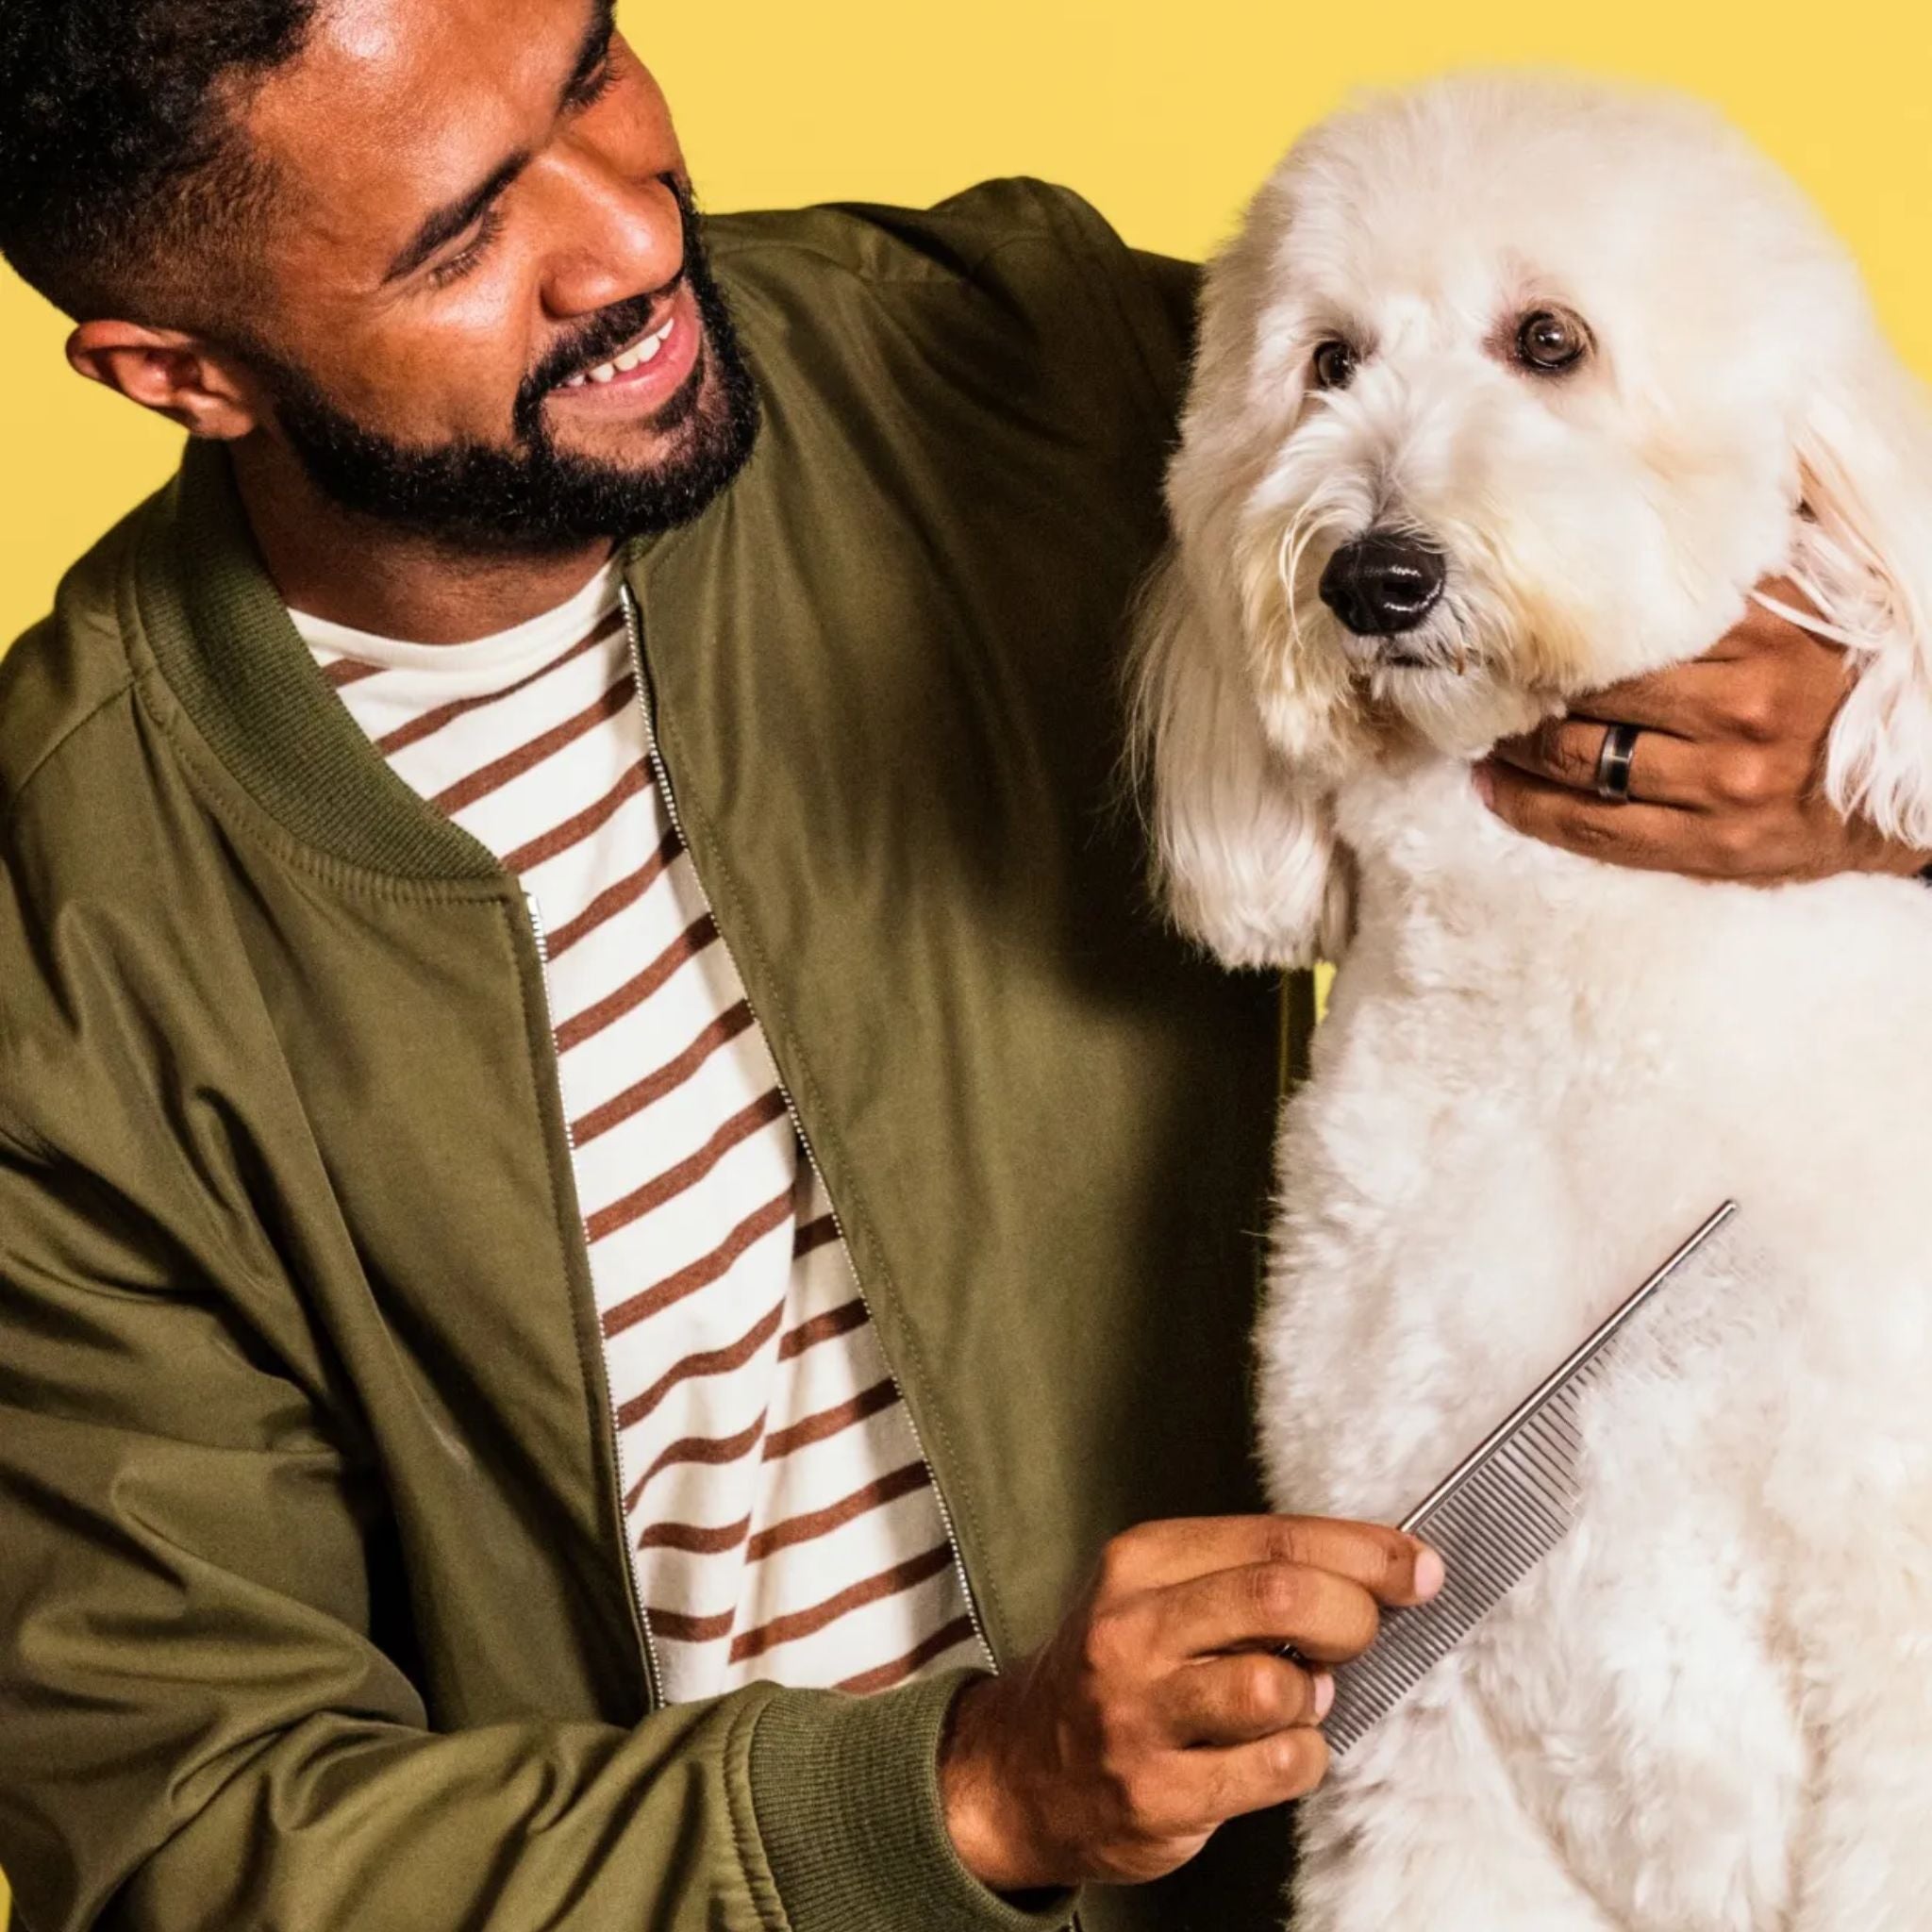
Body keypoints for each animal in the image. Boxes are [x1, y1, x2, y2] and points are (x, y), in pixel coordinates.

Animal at [1128, 71, 1932, 1932]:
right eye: (1328, 360)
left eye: (1548, 341)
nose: (1373, 575)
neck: (1578, 1022)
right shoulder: (1425, 1721)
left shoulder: (1891, 1669)